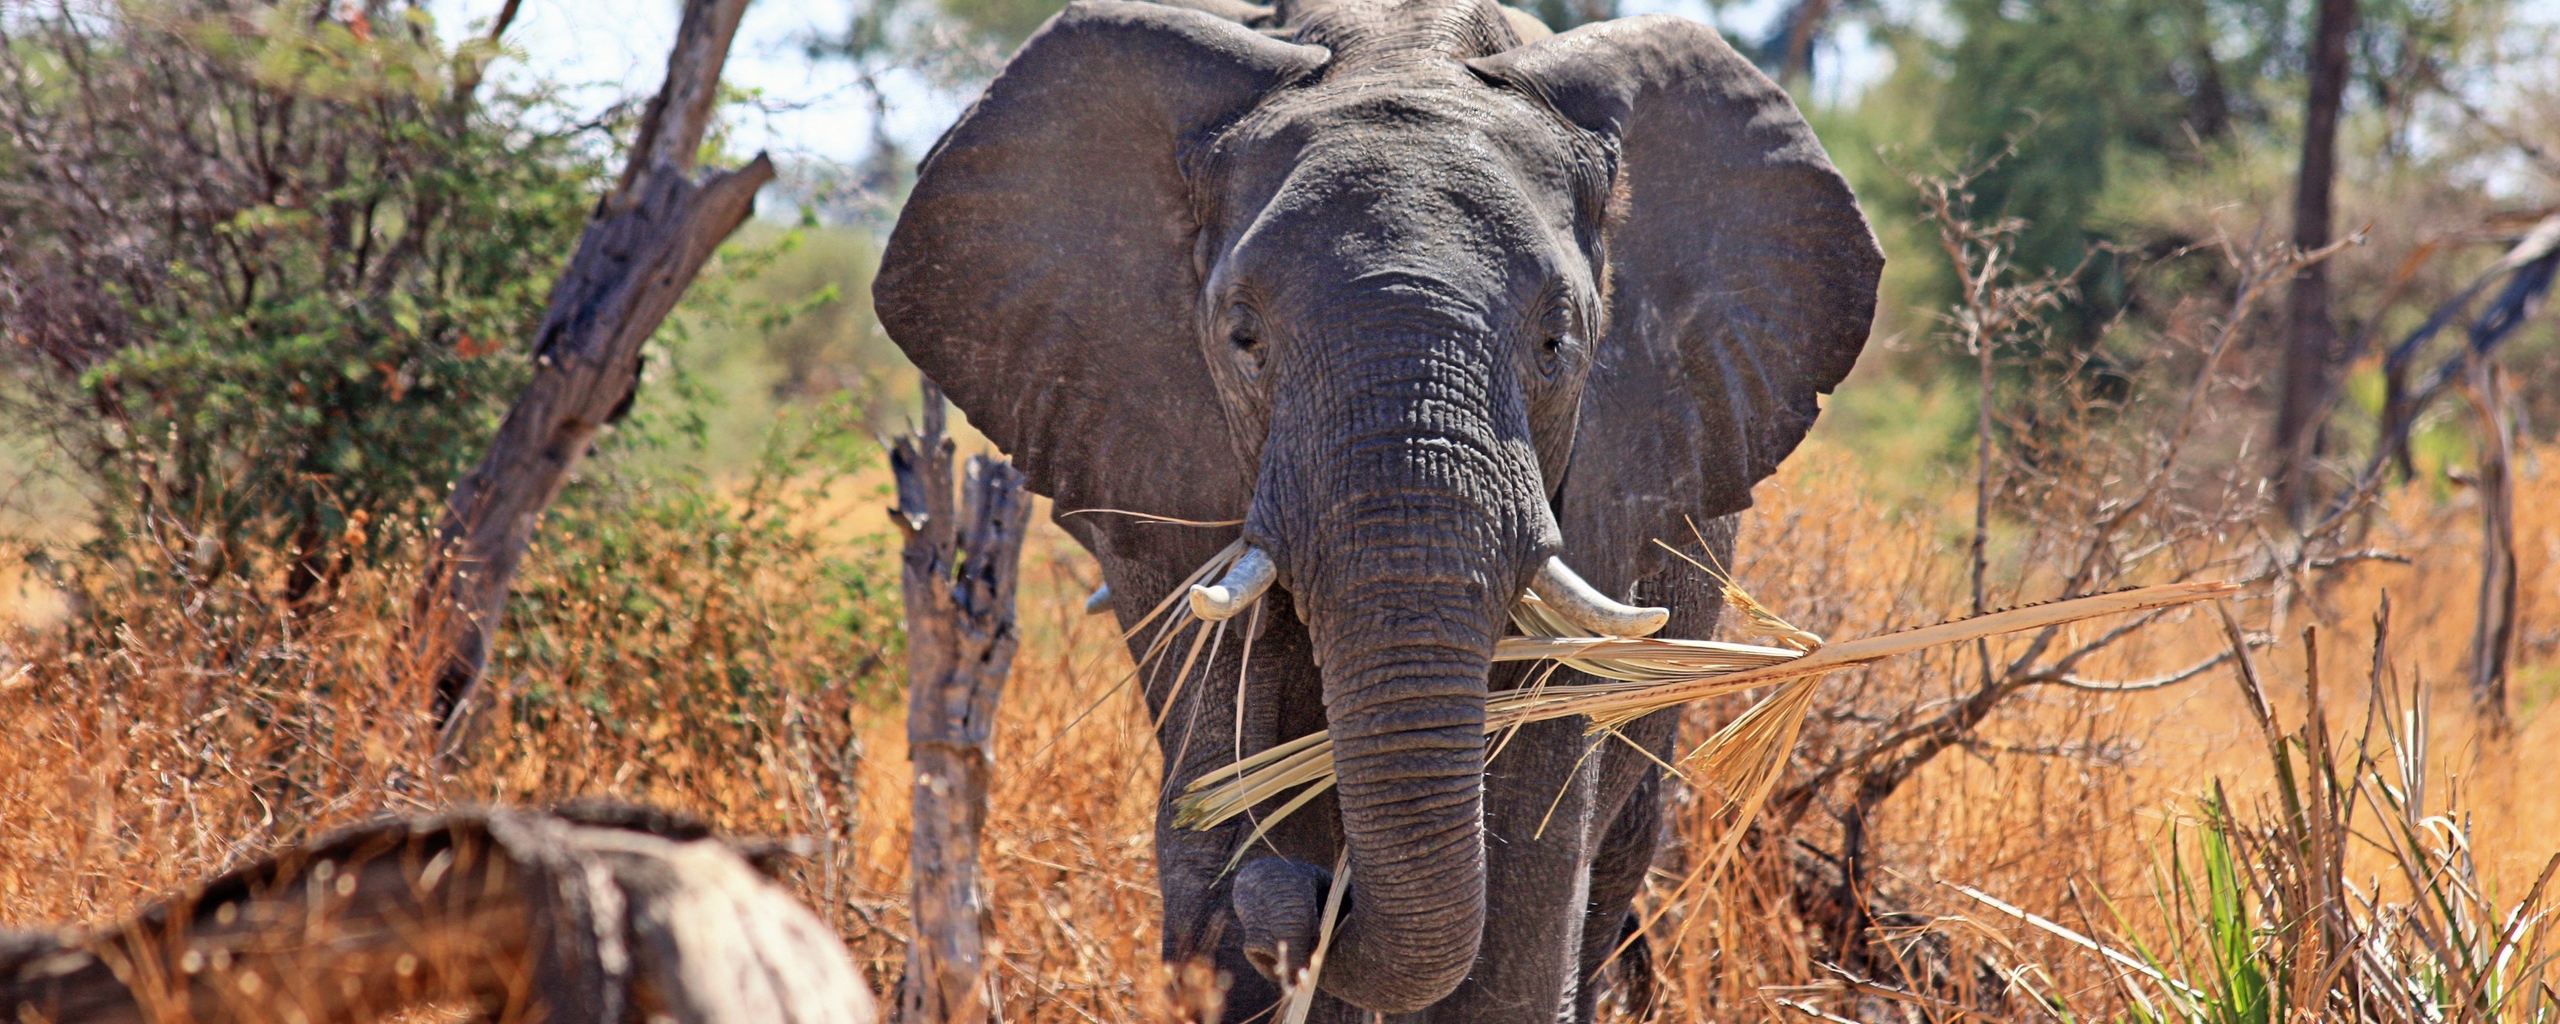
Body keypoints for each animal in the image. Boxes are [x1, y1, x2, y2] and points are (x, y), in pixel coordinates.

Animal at [870, 0, 1894, 1013]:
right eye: (1243, 338)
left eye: (1556, 342)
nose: (1310, 900)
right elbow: (1227, 732)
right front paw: (1249, 885)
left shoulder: (1610, 461)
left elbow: (1531, 839)